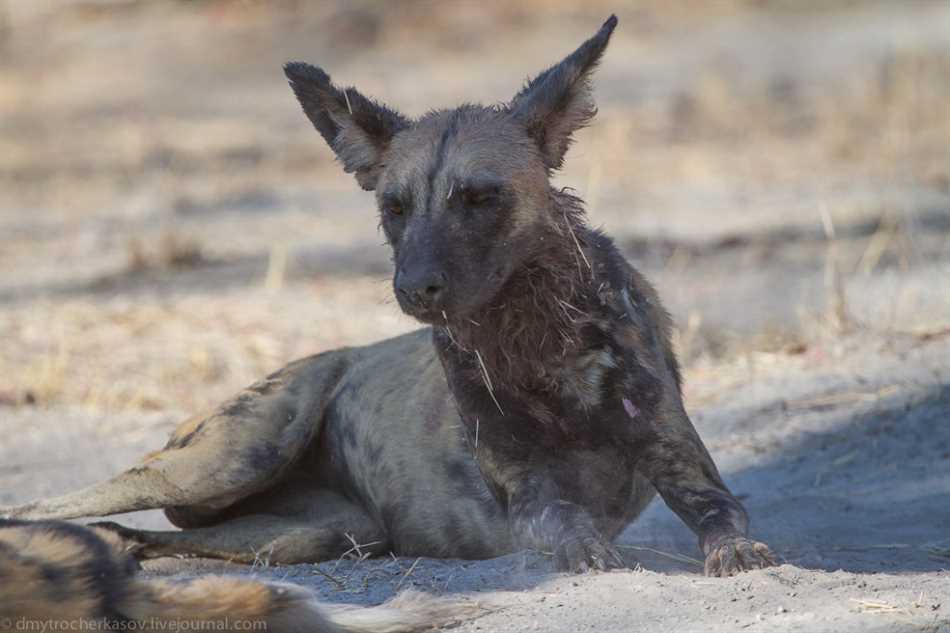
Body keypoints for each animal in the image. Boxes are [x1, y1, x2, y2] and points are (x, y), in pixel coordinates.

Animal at [1, 14, 772, 576]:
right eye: (394, 207)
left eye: (479, 197)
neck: (539, 344)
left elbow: (725, 520)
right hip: (221, 464)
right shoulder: (529, 497)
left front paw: (737, 553)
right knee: (50, 501)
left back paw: (113, 549)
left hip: (318, 534)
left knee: (148, 536)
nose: (415, 287)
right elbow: (570, 527)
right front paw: (592, 553)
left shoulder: (686, 469)